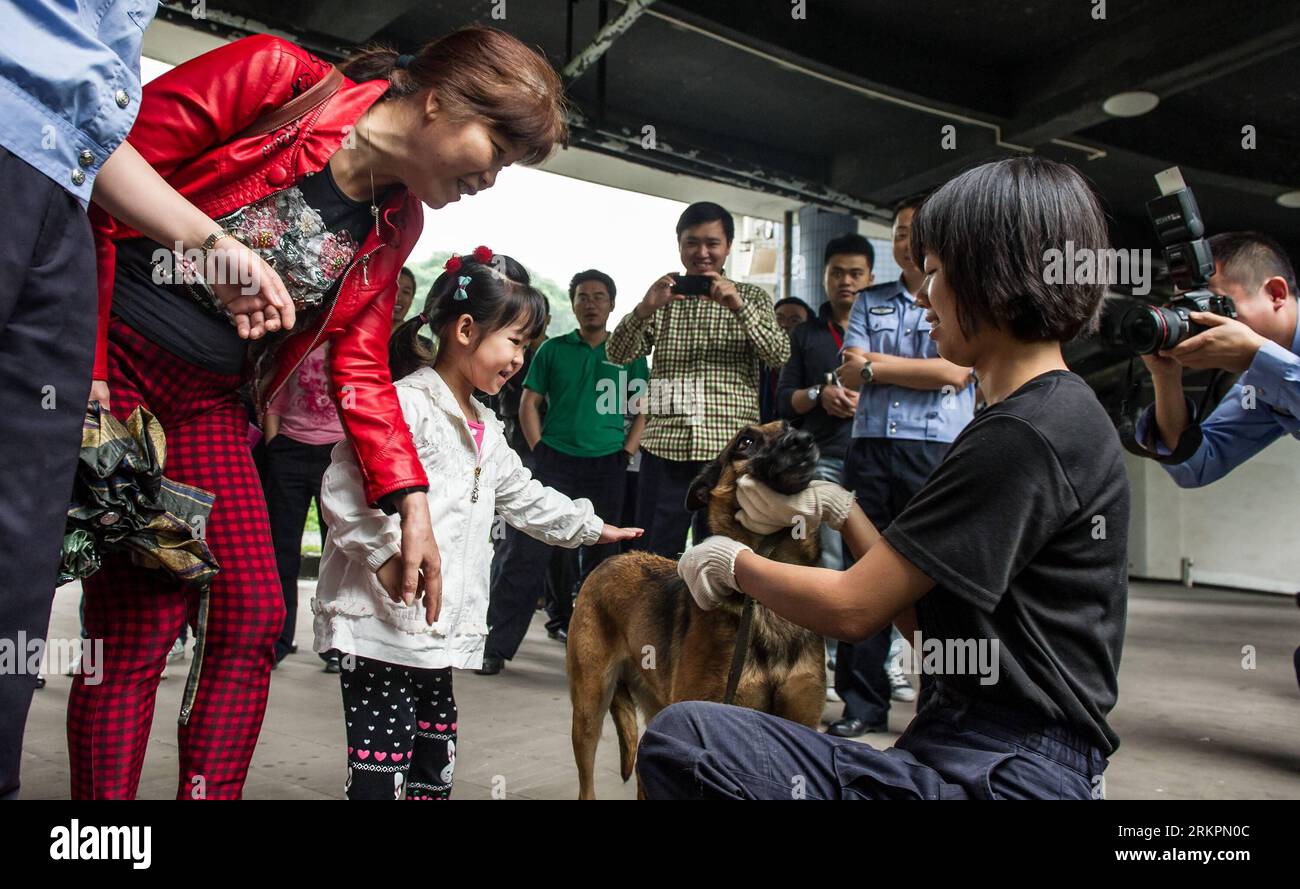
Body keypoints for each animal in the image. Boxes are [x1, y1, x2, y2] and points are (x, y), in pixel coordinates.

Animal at [566, 418, 821, 800]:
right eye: (745, 442)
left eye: (790, 425)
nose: (805, 440)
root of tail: (612, 560)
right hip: (588, 709)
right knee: (587, 783)